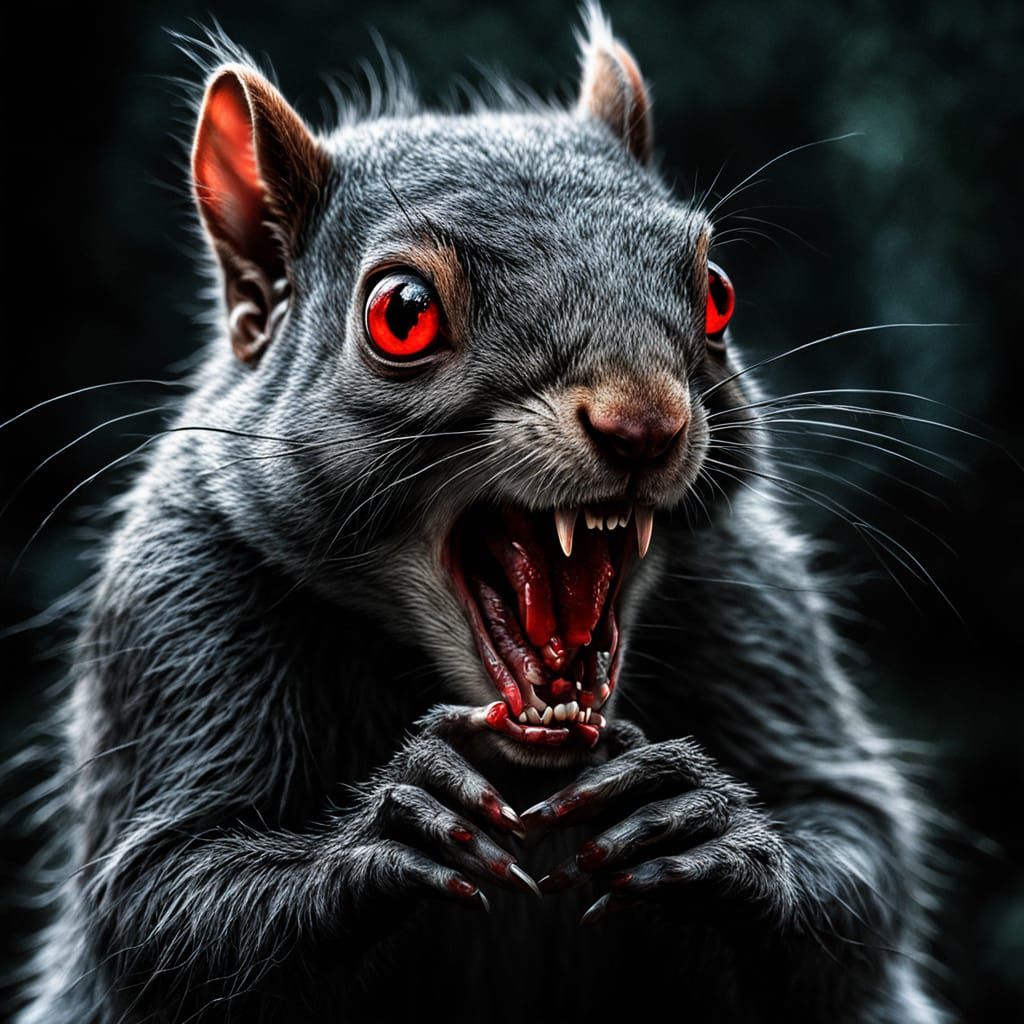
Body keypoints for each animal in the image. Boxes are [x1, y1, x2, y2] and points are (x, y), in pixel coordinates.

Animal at [14, 5, 945, 1023]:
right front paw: (393, 832)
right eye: (402, 314)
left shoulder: (751, 597)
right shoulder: (173, 611)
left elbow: (857, 846)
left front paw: (704, 823)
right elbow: (161, 897)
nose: (644, 423)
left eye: (717, 294)